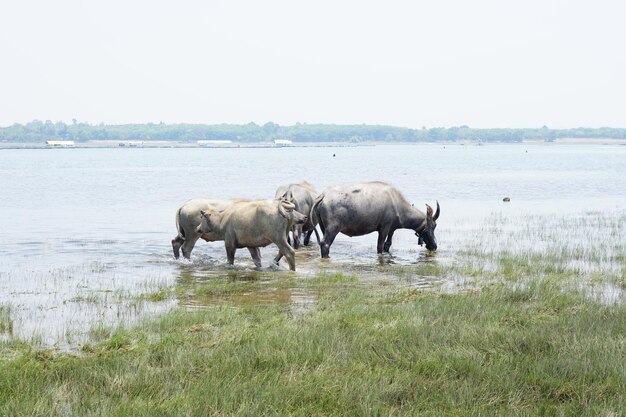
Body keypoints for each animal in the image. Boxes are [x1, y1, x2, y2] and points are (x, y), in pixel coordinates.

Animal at [308, 181, 438, 256]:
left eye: (435, 226)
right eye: (431, 227)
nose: (434, 246)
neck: (397, 203)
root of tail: (324, 195)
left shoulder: (391, 228)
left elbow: (387, 245)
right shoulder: (384, 228)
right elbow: (380, 246)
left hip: (323, 227)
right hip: (333, 228)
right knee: (325, 244)